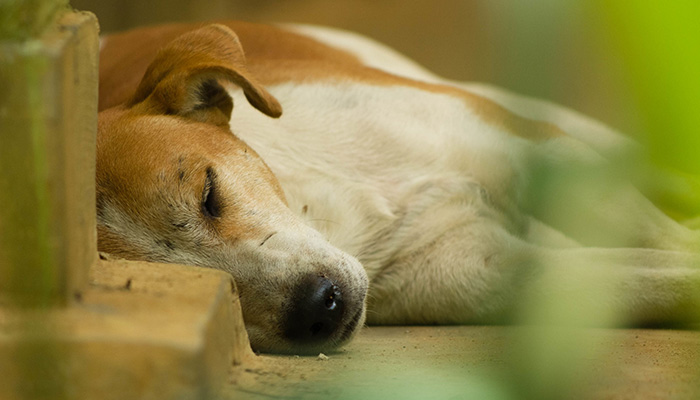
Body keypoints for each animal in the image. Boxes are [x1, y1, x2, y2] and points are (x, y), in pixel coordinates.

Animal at [97, 21, 700, 354]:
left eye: (208, 194)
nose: (318, 309)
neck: (328, 207)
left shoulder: (543, 153)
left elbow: (669, 241)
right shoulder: (490, 270)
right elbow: (664, 276)